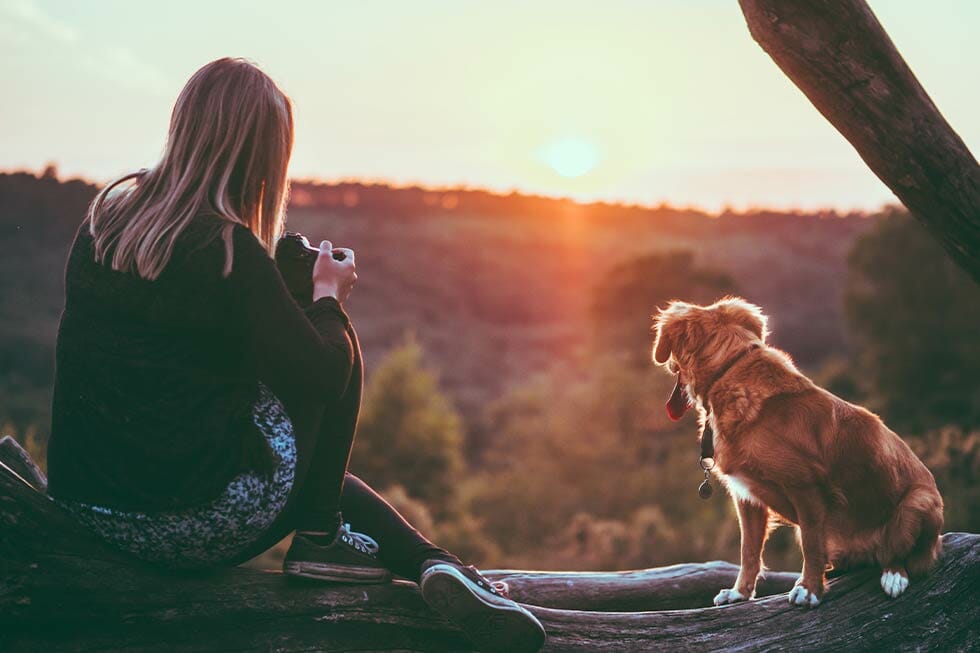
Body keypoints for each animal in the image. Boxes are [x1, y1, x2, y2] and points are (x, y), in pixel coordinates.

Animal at [652, 296, 940, 608]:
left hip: (918, 503)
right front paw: (740, 592)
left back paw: (893, 576)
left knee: (903, 554)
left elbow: (812, 547)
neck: (729, 370)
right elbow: (748, 551)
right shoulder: (747, 497)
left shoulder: (806, 487)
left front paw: (809, 589)